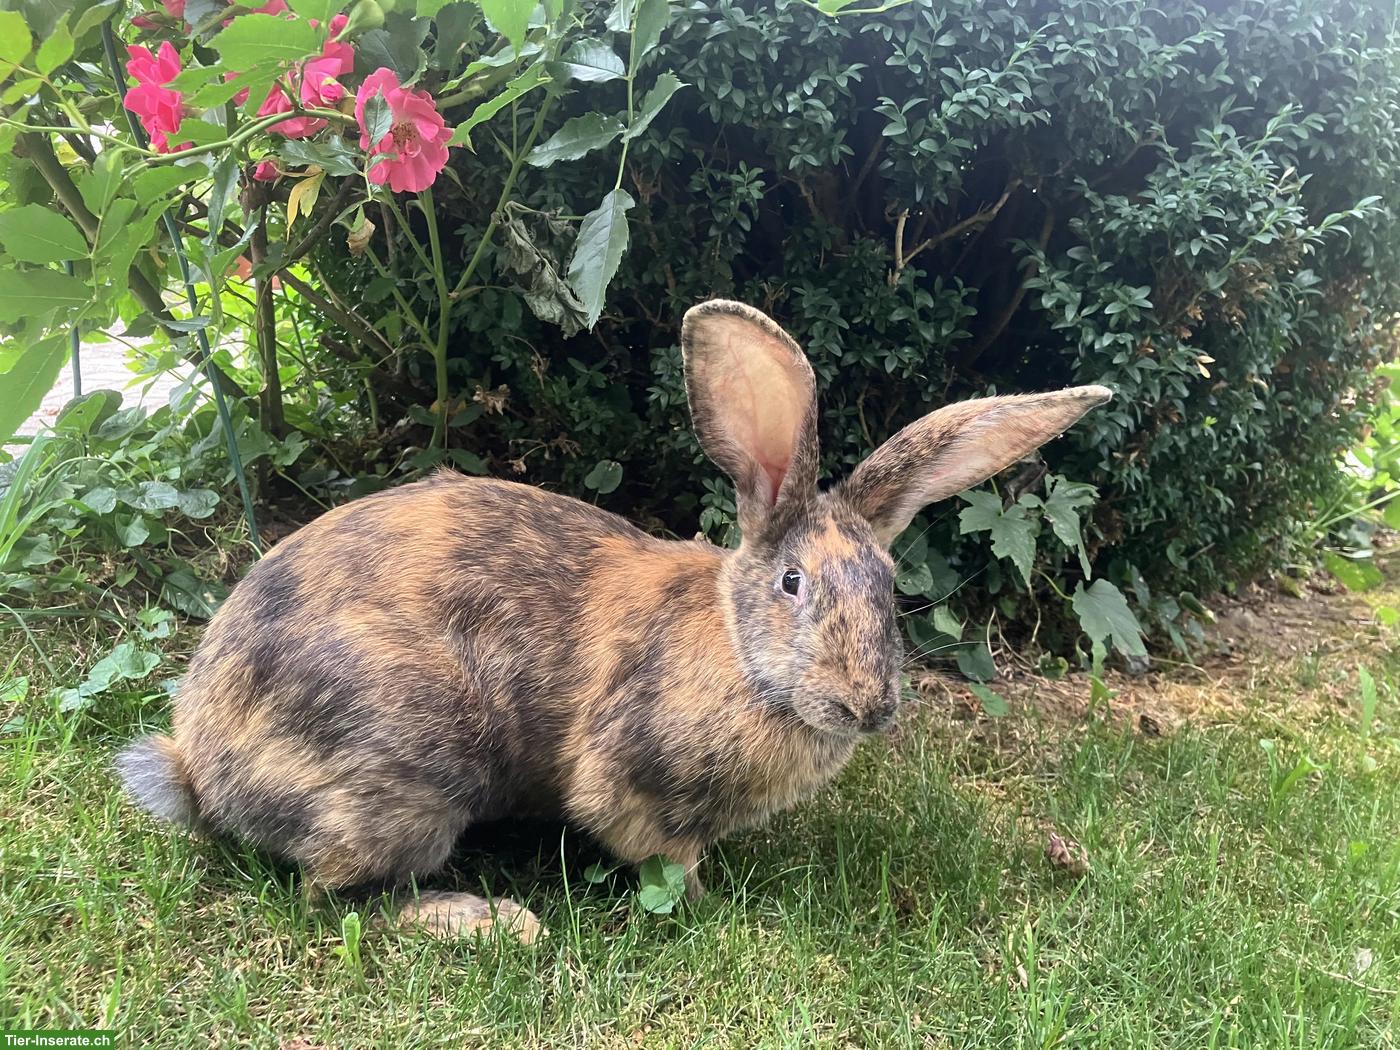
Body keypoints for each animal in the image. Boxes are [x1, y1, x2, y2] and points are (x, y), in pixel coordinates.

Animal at [116, 299, 1110, 941]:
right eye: (793, 583)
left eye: (889, 584)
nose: (867, 707)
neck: (742, 658)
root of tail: (200, 767)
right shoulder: (630, 782)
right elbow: (658, 849)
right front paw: (706, 906)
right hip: (415, 766)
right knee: (332, 895)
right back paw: (489, 922)